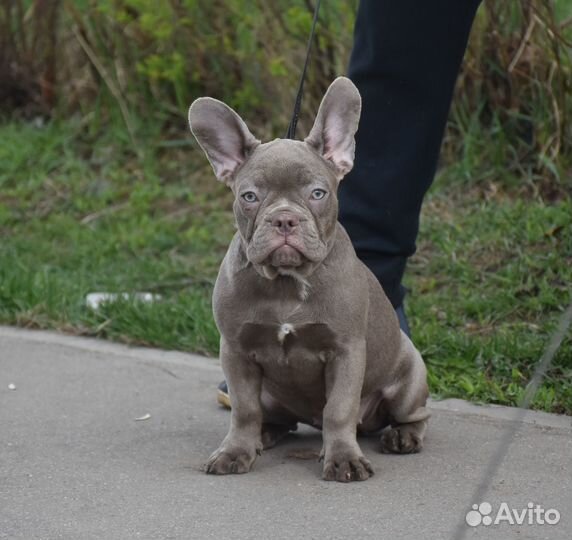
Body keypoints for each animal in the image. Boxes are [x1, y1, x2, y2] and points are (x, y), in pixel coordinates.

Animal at [188, 78, 428, 484]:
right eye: (249, 196)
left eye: (318, 193)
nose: (284, 218)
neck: (286, 281)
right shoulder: (235, 351)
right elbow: (244, 409)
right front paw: (235, 451)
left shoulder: (346, 351)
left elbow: (339, 409)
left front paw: (344, 458)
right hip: (271, 394)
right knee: (273, 417)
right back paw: (265, 434)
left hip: (410, 376)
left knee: (414, 415)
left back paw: (403, 436)